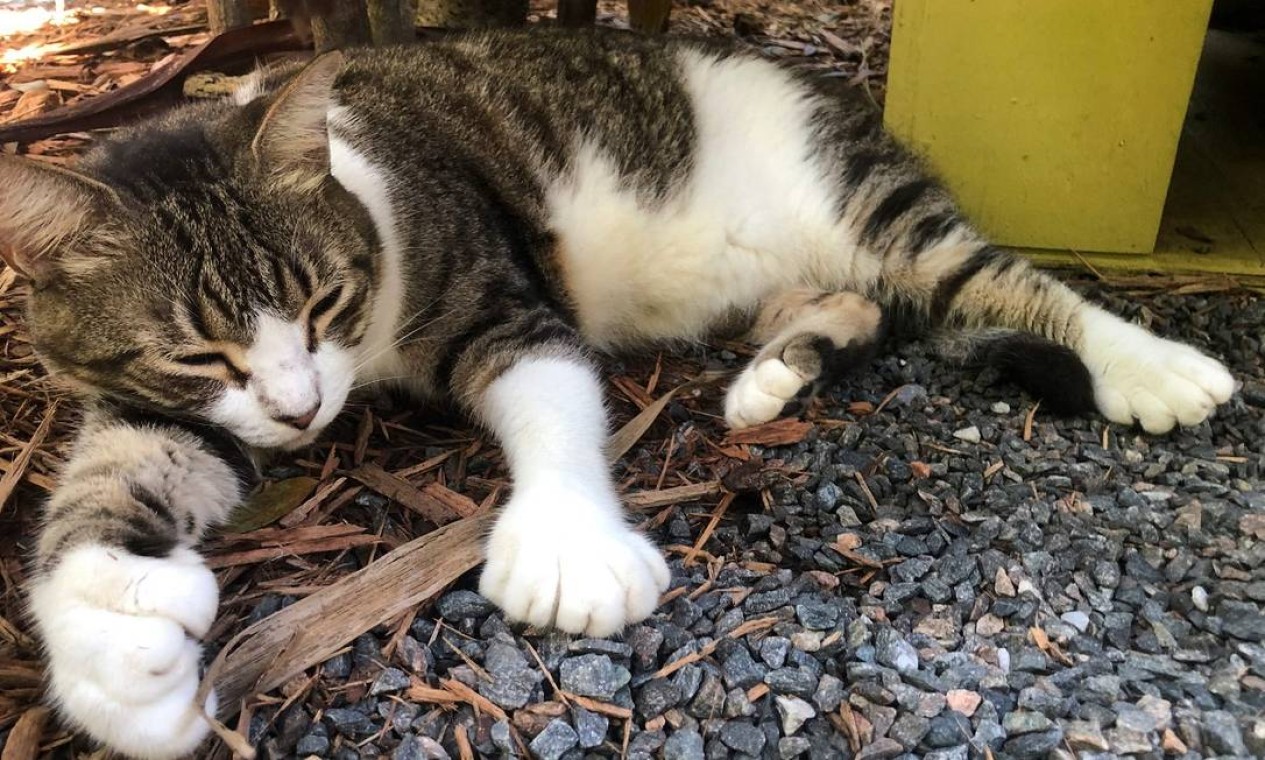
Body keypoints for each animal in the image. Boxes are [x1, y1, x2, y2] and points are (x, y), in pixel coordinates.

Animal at [0, 29, 1234, 758]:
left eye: (323, 301)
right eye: (196, 356)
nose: (304, 413)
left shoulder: (496, 295)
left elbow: (551, 397)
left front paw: (565, 544)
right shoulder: (163, 405)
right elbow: (111, 474)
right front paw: (111, 639)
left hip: (861, 199)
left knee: (993, 275)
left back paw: (1152, 366)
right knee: (861, 308)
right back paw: (775, 373)